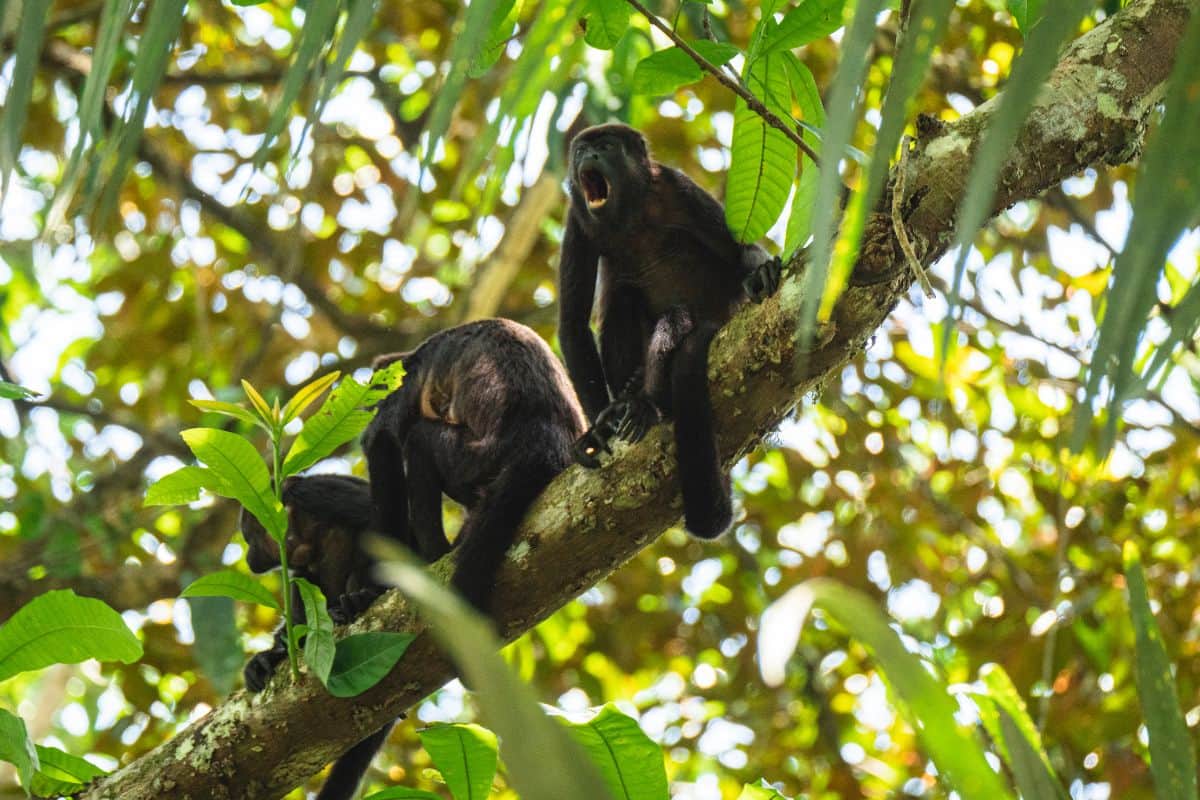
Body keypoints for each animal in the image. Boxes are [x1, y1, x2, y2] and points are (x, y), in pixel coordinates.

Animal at [240, 473, 394, 800]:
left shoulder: (317, 493)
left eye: (249, 537)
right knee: (303, 578)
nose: (249, 558)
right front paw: (272, 653)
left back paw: (359, 600)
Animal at [362, 317, 587, 615]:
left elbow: (380, 440)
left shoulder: (403, 383)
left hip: (475, 458)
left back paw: (435, 554)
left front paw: (374, 587)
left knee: (419, 440)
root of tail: (544, 440)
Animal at [557, 122, 782, 539]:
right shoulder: (577, 223)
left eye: (606, 147)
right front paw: (599, 429)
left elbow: (738, 248)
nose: (589, 157)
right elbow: (573, 324)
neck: (629, 214)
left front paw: (759, 270)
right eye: (580, 151)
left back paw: (648, 403)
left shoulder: (678, 187)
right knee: (623, 300)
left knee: (676, 319)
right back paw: (628, 393)